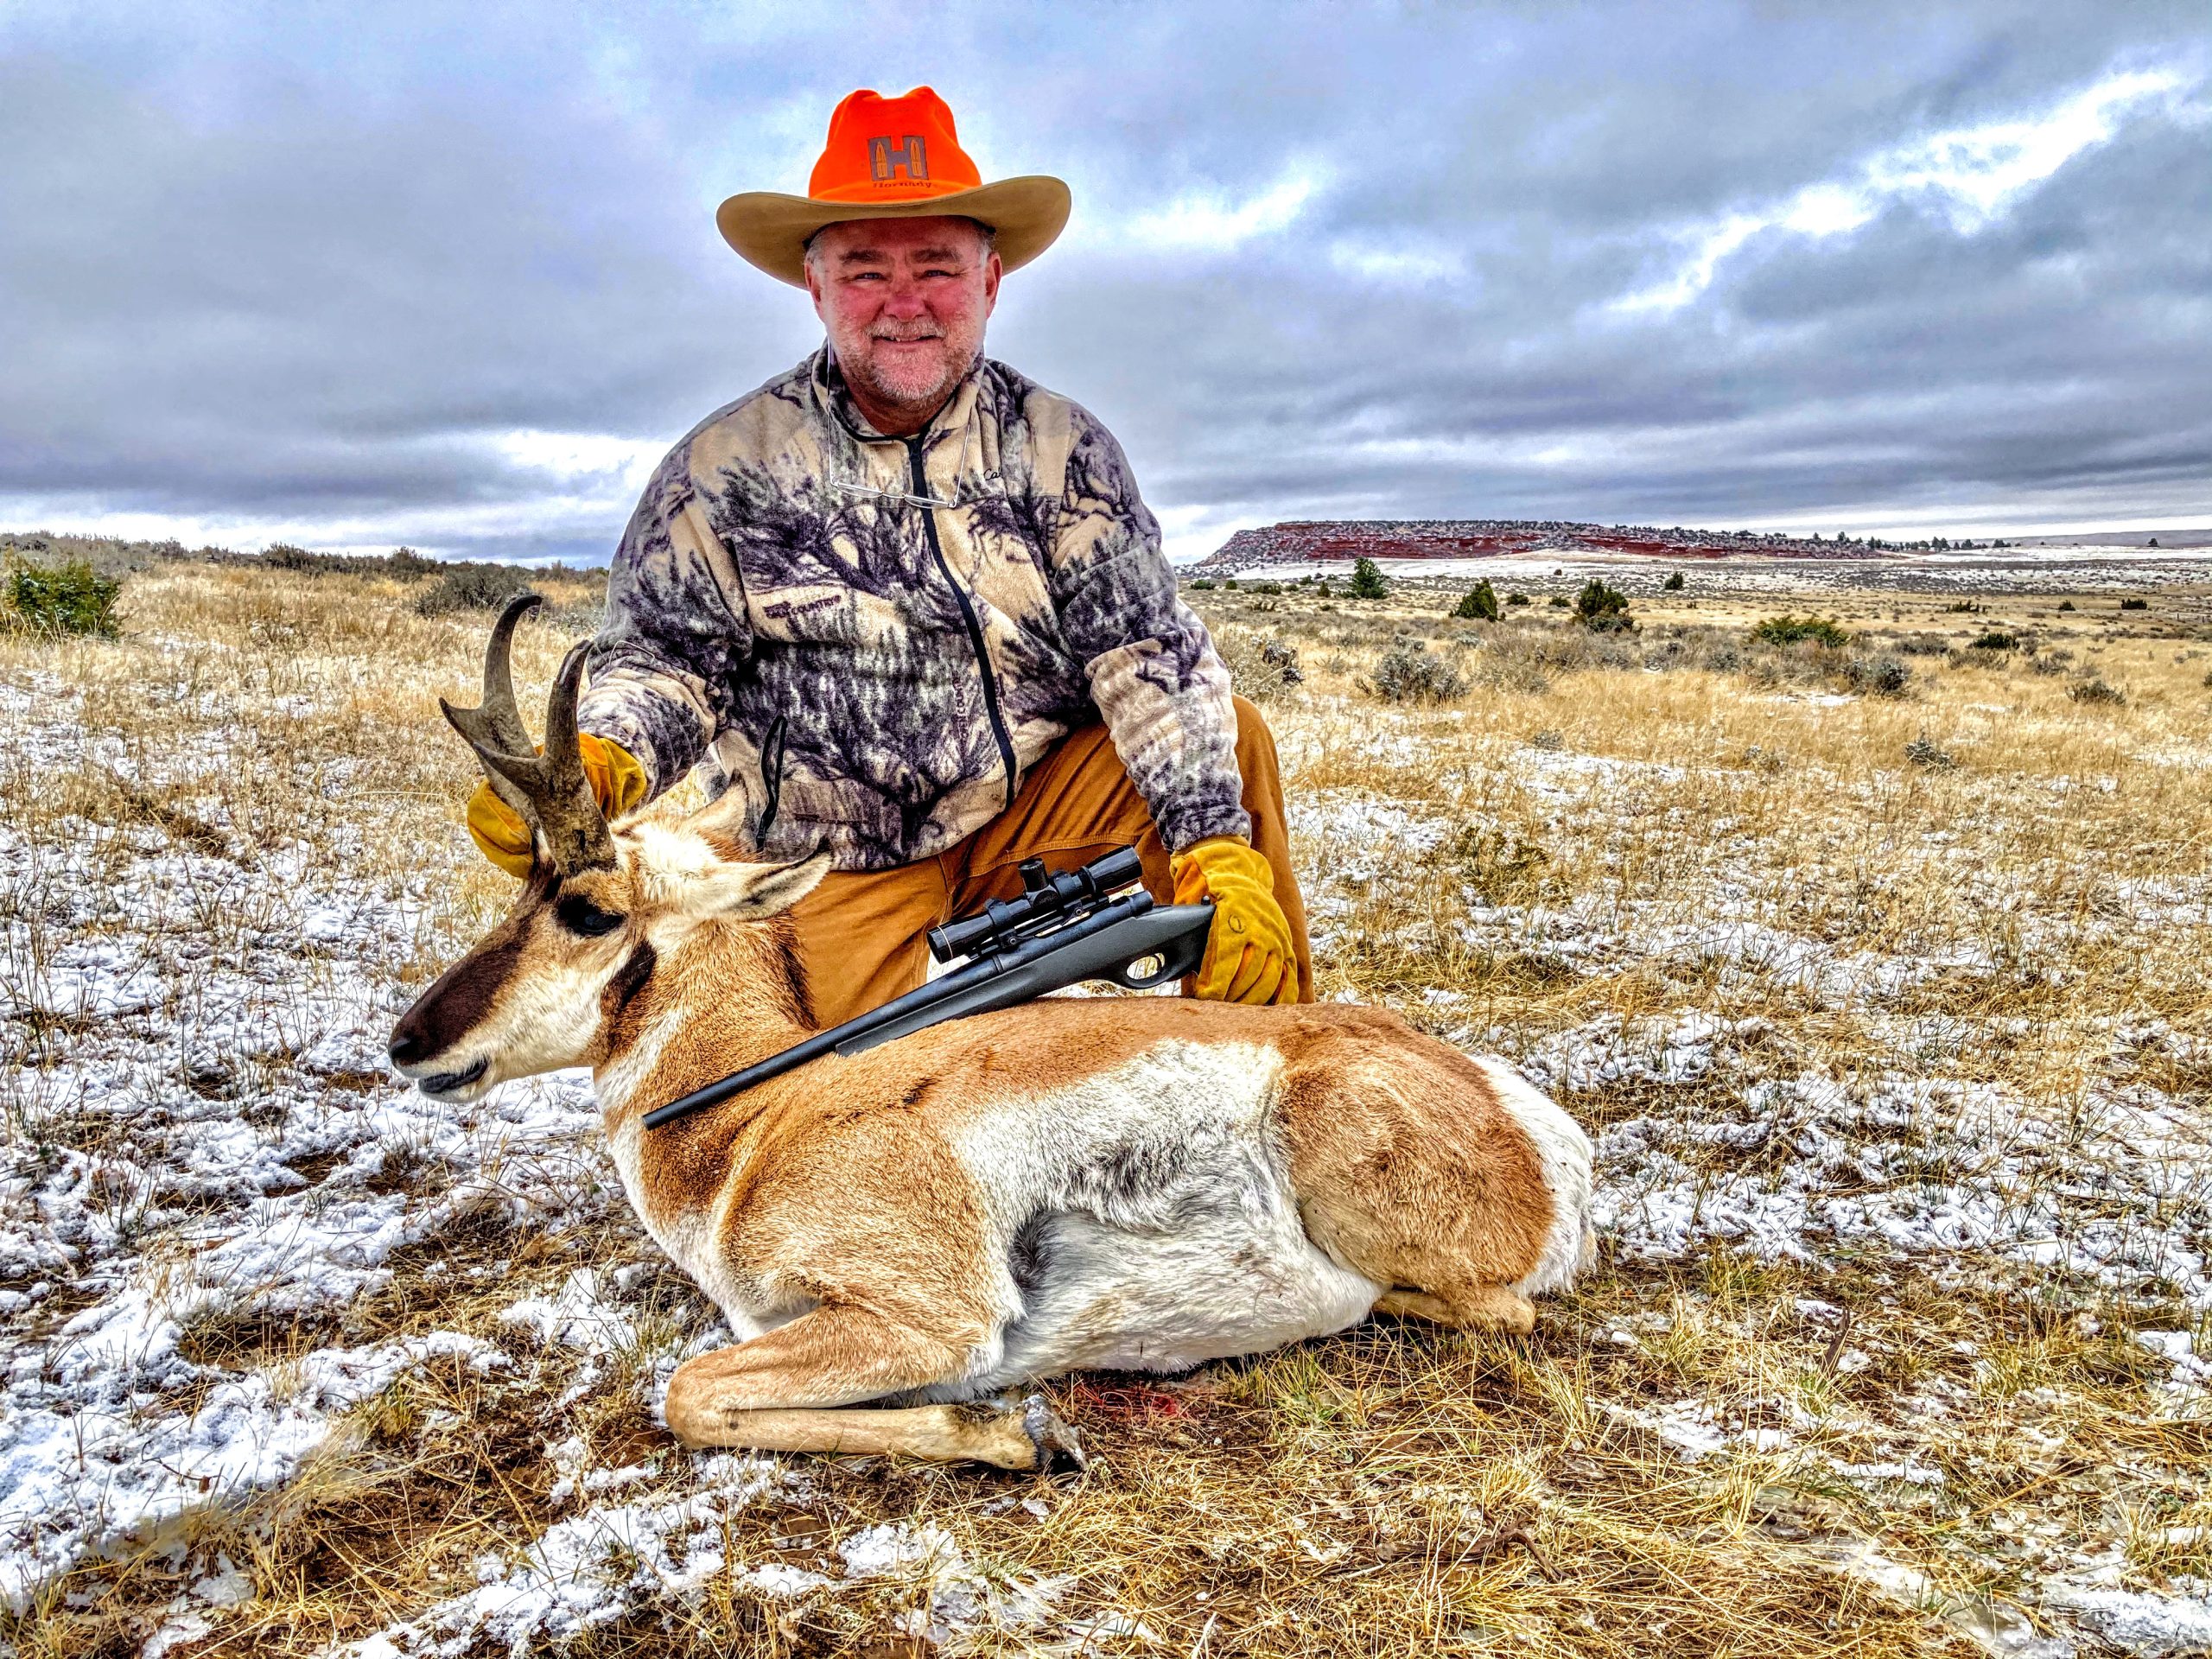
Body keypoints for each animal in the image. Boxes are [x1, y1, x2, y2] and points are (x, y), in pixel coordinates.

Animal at [385, 593, 1592, 1468]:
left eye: (585, 908)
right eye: (523, 881)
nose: (407, 1045)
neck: (755, 1121)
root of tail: (1532, 1123)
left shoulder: (926, 1319)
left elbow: (686, 1393)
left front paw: (1008, 1429)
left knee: (1492, 1312)